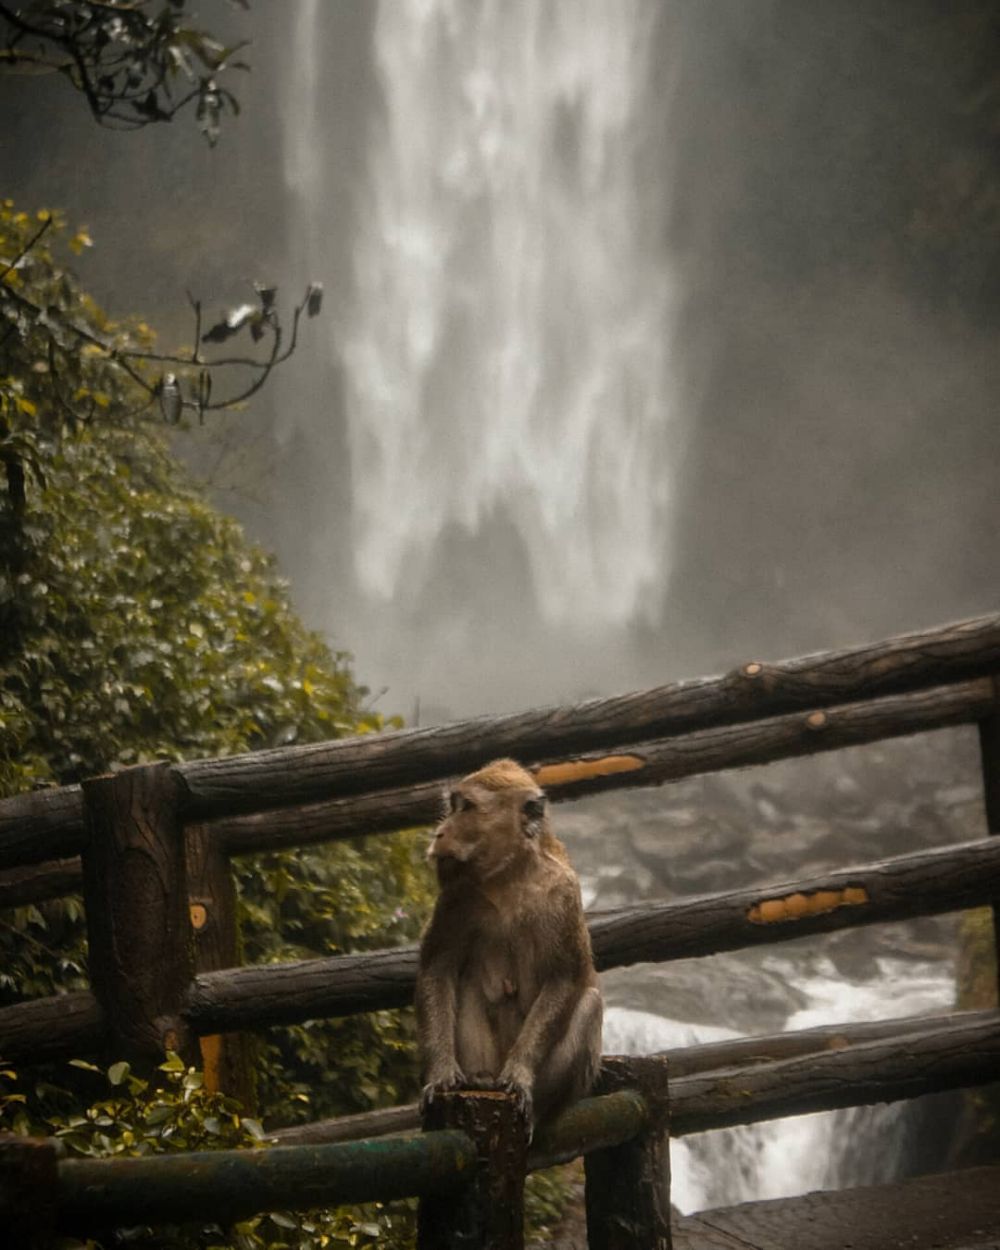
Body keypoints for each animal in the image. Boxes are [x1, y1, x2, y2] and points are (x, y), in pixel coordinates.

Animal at [415, 755, 602, 1140]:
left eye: (467, 808)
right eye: (453, 806)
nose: (440, 833)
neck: (509, 878)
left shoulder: (563, 895)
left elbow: (564, 979)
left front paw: (519, 1075)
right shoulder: (456, 896)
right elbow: (437, 969)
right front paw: (440, 1074)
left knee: (590, 1003)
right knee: (466, 984)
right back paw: (479, 1078)